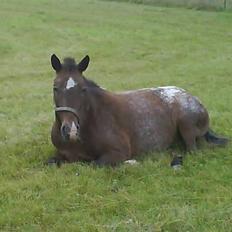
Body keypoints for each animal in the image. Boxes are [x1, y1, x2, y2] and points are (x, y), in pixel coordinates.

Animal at [47, 54, 228, 167]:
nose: (70, 130)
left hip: (186, 126)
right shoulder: (62, 154)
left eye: (83, 89)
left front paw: (132, 163)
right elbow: (51, 162)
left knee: (194, 151)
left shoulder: (117, 152)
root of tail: (192, 97)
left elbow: (94, 164)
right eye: (55, 88)